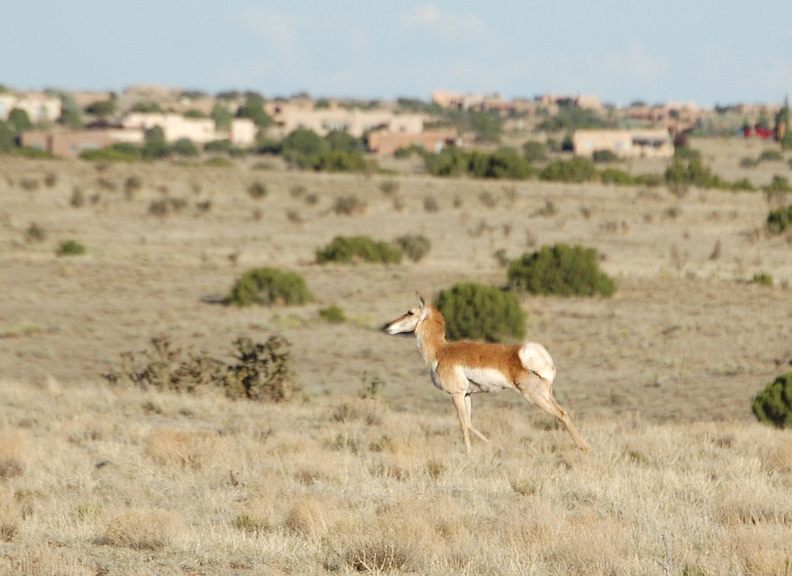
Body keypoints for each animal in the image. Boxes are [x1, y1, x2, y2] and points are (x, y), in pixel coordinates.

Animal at [384, 296, 588, 454]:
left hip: (533, 396)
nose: (387, 326)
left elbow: (463, 423)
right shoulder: (467, 394)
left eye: (410, 312)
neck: (441, 351)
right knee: (564, 412)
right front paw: (495, 446)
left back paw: (584, 449)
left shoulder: (455, 394)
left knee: (560, 414)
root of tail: (528, 354)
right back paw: (586, 447)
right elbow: (470, 422)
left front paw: (468, 454)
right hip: (546, 394)